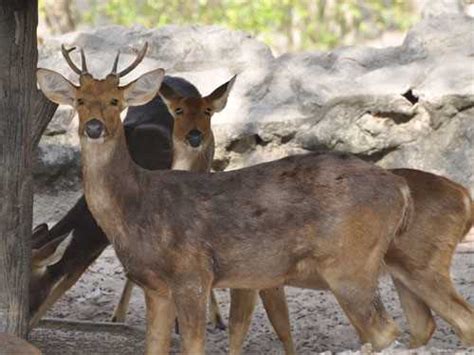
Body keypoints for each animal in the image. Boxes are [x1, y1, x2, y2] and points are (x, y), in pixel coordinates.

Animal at [37, 41, 412, 354]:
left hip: (350, 262)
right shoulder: (155, 287)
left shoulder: (193, 274)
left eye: (116, 101)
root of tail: (399, 187)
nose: (94, 127)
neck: (137, 206)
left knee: (386, 332)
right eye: (80, 101)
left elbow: (195, 345)